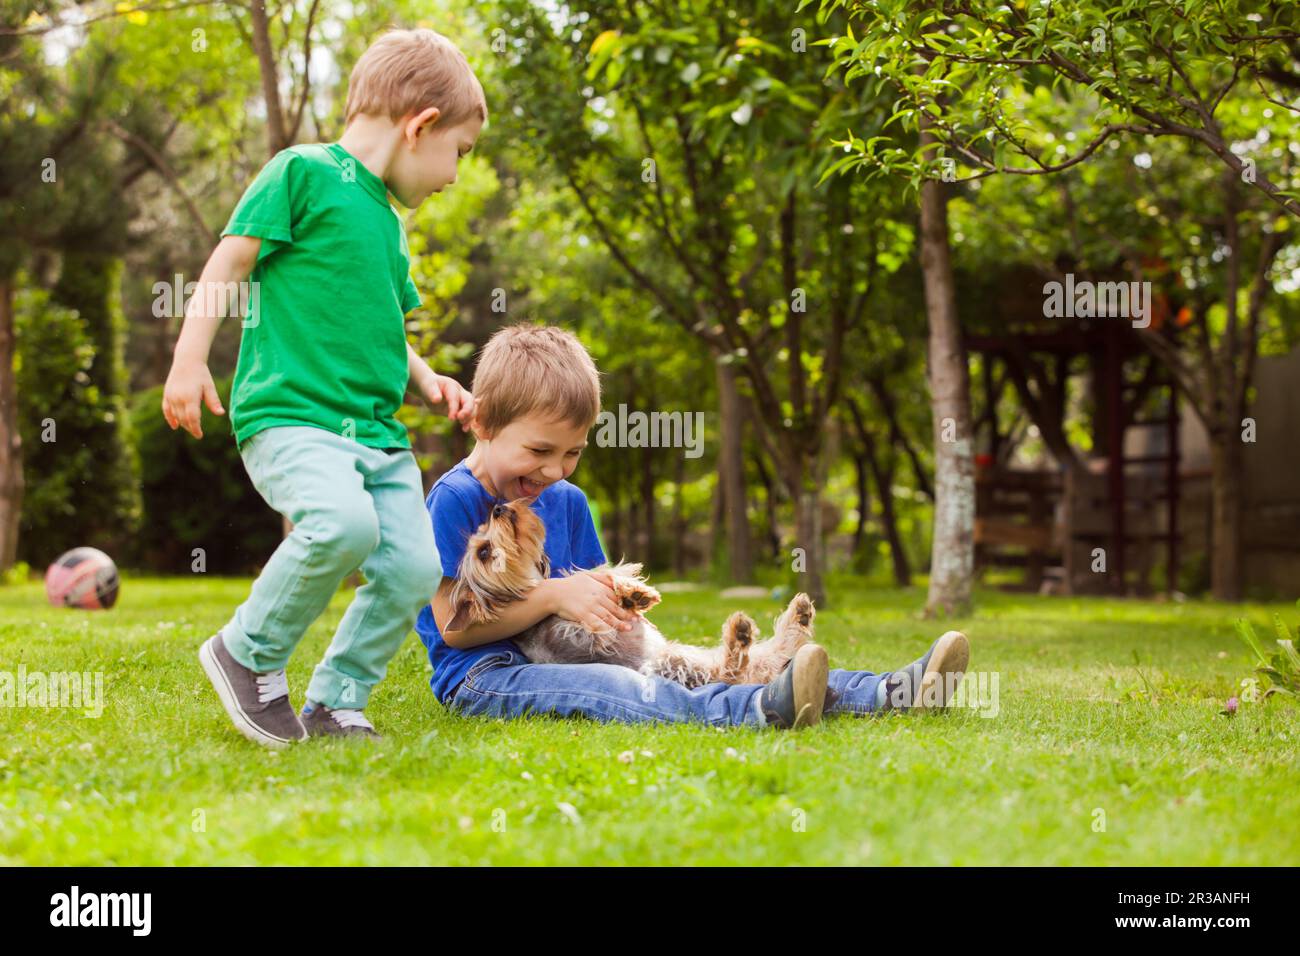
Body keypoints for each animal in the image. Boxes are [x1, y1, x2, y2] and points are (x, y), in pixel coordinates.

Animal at [447, 502, 811, 686]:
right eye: (483, 552)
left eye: (483, 534)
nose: (496, 507)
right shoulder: (583, 631)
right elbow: (582, 590)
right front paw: (630, 593)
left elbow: (596, 572)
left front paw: (633, 590)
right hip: (673, 663)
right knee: (732, 668)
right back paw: (741, 634)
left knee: (768, 657)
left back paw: (798, 617)